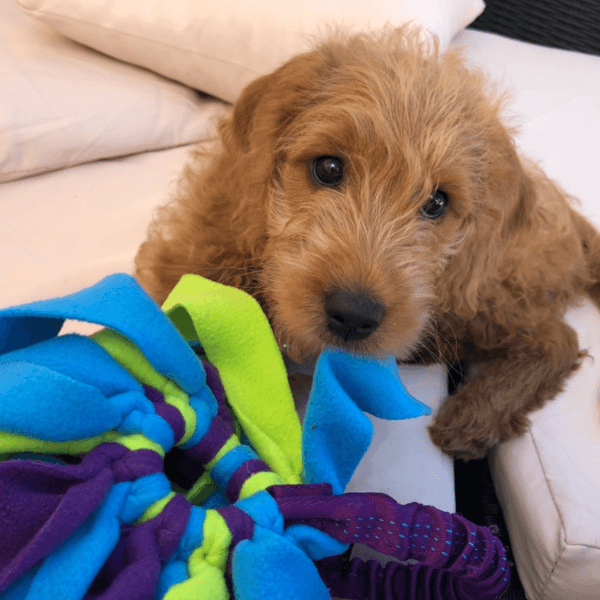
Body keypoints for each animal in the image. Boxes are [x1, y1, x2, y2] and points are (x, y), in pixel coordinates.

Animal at [135, 28, 600, 460]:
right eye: (328, 167)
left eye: (437, 202)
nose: (354, 315)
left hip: (474, 292)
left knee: (556, 338)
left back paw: (474, 416)